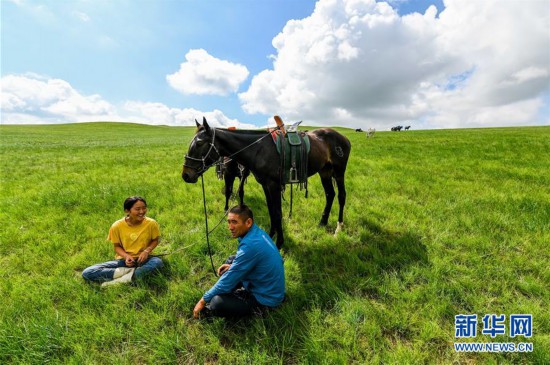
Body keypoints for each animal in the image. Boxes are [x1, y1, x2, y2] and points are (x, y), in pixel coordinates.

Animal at [182, 116, 354, 247]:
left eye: (199, 143)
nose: (186, 175)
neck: (259, 149)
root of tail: (344, 138)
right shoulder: (265, 185)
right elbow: (271, 211)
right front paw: (271, 235)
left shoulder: (274, 185)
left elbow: (278, 213)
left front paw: (279, 242)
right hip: (324, 172)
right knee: (330, 194)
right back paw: (322, 222)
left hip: (339, 172)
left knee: (341, 196)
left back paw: (339, 227)